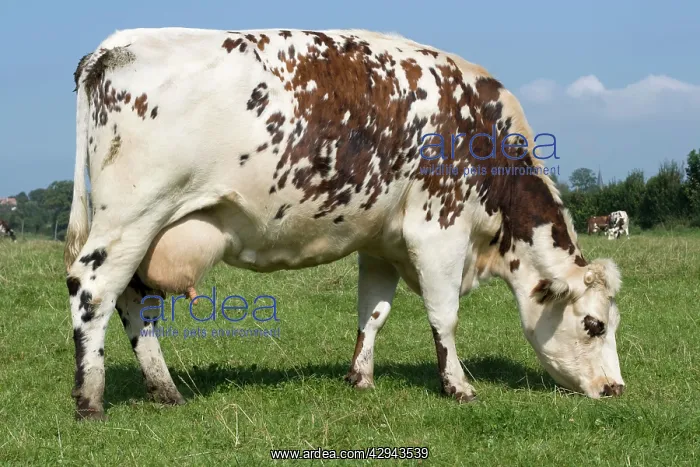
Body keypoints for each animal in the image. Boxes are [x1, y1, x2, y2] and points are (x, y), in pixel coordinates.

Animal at [64, 28, 625, 420]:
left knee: (134, 299)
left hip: (145, 230)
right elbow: (444, 316)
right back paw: (90, 398)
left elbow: (372, 312)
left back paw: (164, 390)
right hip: (132, 216)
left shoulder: (380, 241)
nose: (616, 389)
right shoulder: (438, 230)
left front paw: (361, 376)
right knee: (92, 288)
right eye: (594, 325)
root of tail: (114, 46)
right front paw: (458, 386)